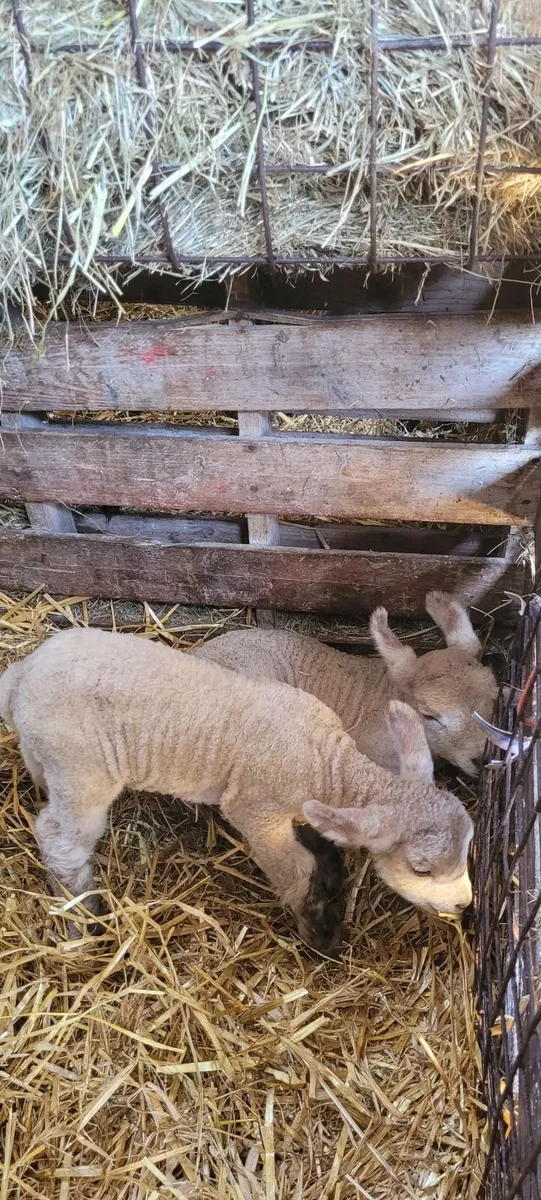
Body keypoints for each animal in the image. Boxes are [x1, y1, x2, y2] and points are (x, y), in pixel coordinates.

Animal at [0, 628, 473, 951]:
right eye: (421, 869)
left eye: (468, 847)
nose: (464, 906)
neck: (327, 763)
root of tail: (22, 672)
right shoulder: (254, 808)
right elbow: (293, 869)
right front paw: (318, 929)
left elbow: (315, 836)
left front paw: (330, 869)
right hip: (82, 768)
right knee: (59, 839)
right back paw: (82, 914)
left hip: (44, 751)